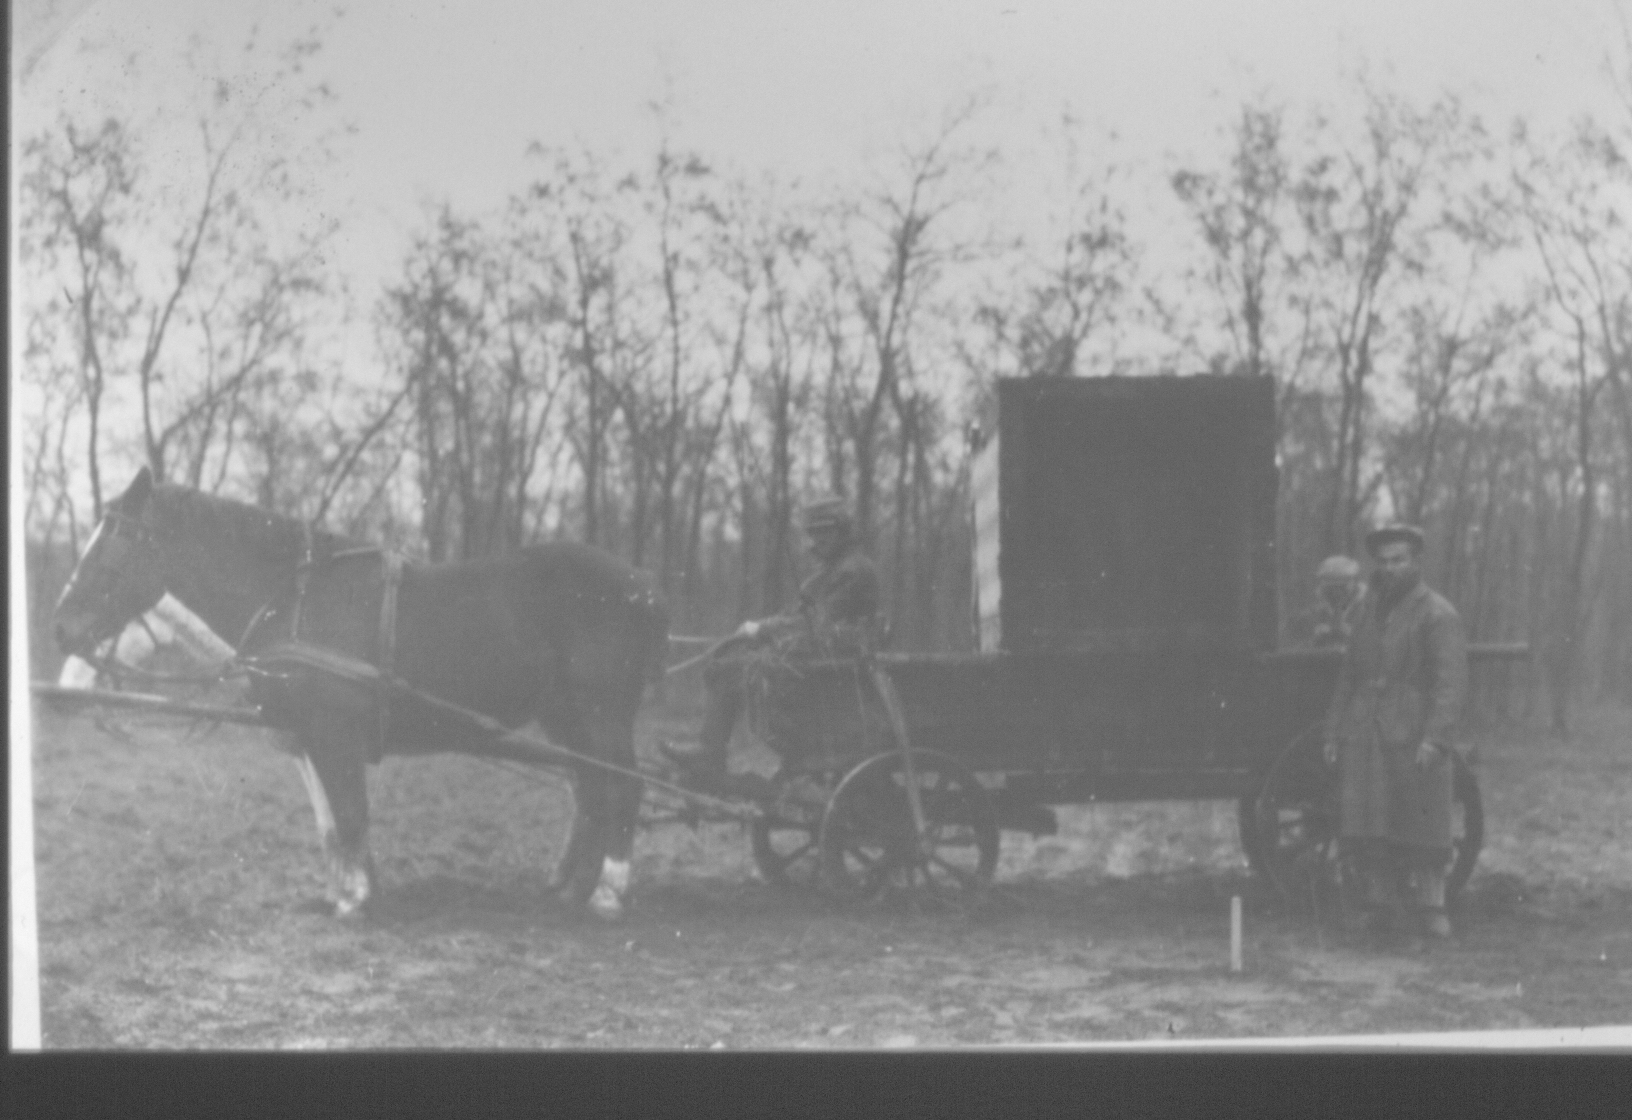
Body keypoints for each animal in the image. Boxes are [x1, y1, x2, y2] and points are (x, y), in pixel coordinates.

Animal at [53, 467, 669, 921]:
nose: (61, 627)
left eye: (113, 543)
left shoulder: (335, 737)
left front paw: (356, 901)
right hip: (567, 718)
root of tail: (642, 584)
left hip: (602, 715)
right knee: (589, 790)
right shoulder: (307, 739)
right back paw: (568, 887)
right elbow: (332, 823)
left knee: (624, 788)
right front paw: (343, 890)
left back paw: (607, 894)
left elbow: (350, 814)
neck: (293, 601)